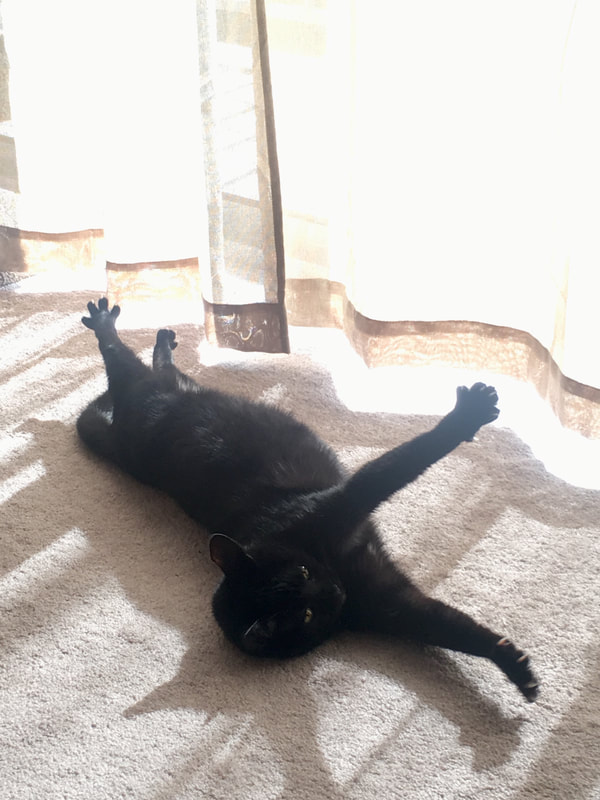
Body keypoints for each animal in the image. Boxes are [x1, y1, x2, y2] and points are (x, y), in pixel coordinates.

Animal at [77, 298, 539, 702]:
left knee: (152, 369)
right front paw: (467, 415)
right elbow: (400, 465)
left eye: (301, 572)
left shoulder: (366, 565)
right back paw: (104, 324)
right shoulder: (381, 587)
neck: (334, 569)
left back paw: (158, 339)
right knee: (118, 360)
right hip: (142, 393)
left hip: (174, 390)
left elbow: (458, 630)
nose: (332, 591)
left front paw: (514, 667)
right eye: (304, 617)